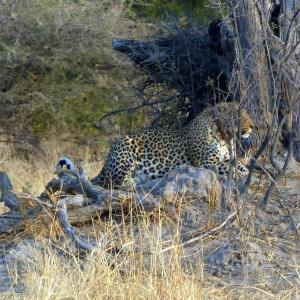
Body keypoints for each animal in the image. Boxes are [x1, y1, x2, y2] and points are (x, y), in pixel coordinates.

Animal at [91, 102, 253, 189]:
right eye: (241, 116)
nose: (253, 126)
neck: (223, 136)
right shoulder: (207, 163)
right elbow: (235, 170)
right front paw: (246, 177)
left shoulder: (227, 159)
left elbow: (242, 167)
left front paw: (249, 174)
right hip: (126, 147)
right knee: (116, 182)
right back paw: (138, 181)